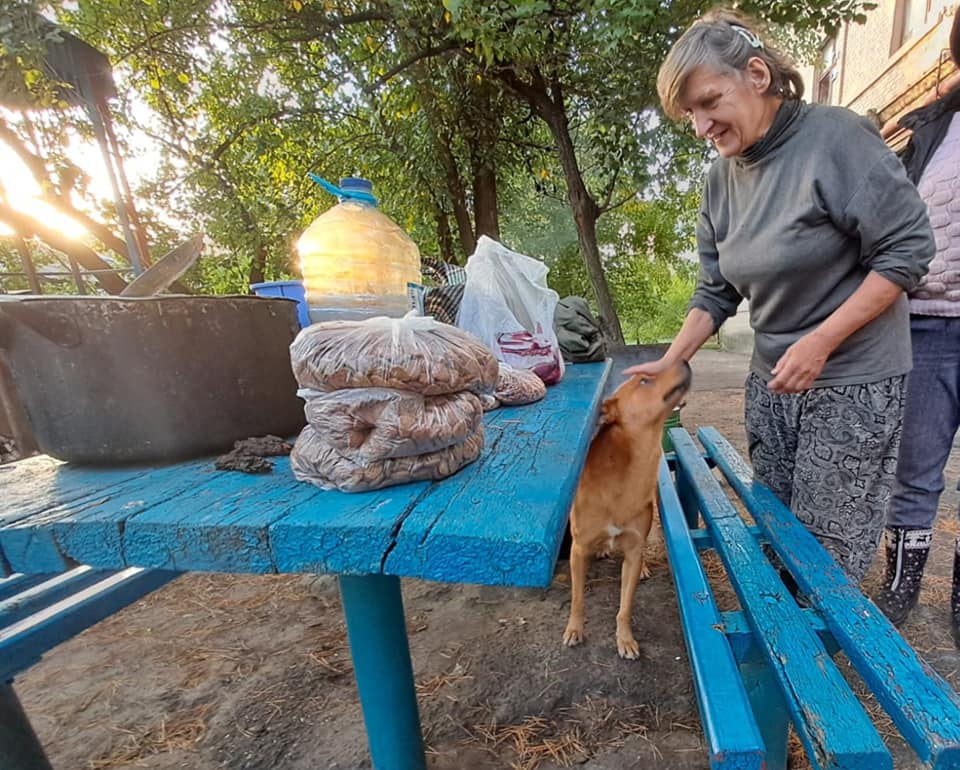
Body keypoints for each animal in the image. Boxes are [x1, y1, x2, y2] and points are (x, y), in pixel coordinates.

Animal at [564, 358, 688, 656]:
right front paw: (575, 629)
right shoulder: (578, 548)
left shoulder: (632, 548)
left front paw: (625, 638)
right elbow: (577, 598)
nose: (683, 359)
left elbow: (625, 606)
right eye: (644, 380)